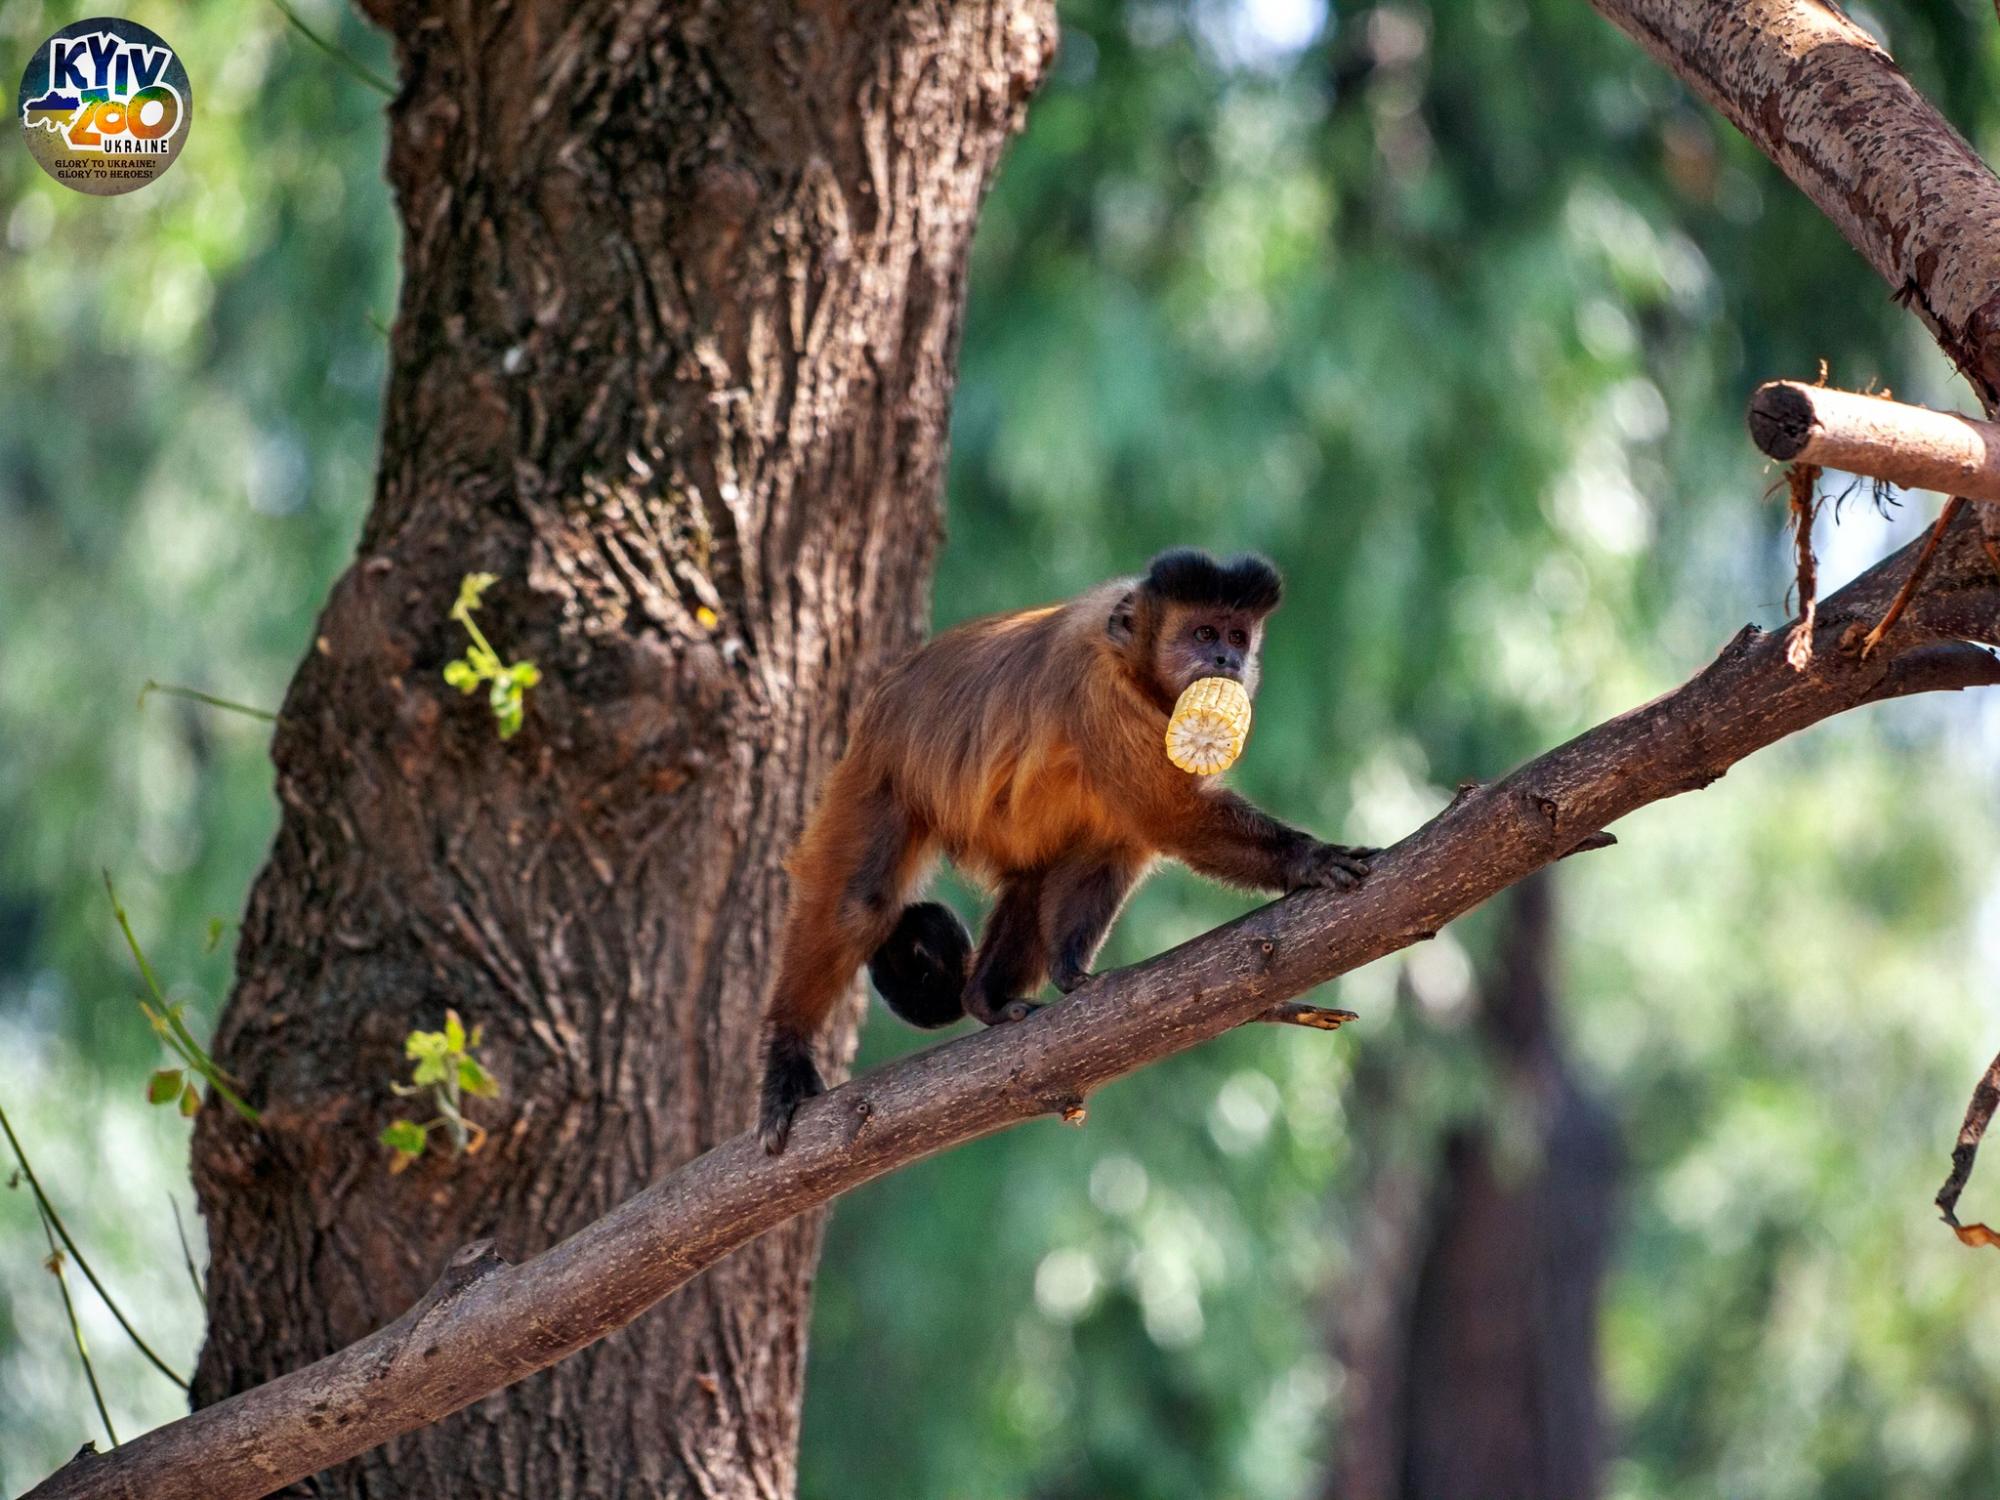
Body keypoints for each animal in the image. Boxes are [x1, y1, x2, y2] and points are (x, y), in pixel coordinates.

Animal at [756, 552, 1368, 1152]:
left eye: (1238, 636)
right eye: (1204, 632)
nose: (1226, 658)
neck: (1131, 659)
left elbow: (1123, 838)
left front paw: (1070, 973)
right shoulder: (1100, 691)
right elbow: (1172, 817)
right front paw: (1310, 860)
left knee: (1042, 871)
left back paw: (987, 998)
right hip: (877, 775)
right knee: (857, 905)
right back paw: (786, 1054)